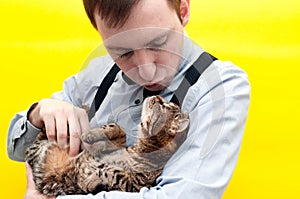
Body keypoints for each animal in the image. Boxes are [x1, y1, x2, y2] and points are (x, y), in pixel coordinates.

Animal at [25, 95, 190, 197]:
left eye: (163, 106)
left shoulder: (133, 186)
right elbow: (119, 130)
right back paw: (80, 109)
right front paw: (93, 134)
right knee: (42, 132)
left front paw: (91, 181)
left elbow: (111, 172)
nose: (157, 96)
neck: (140, 150)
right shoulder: (115, 146)